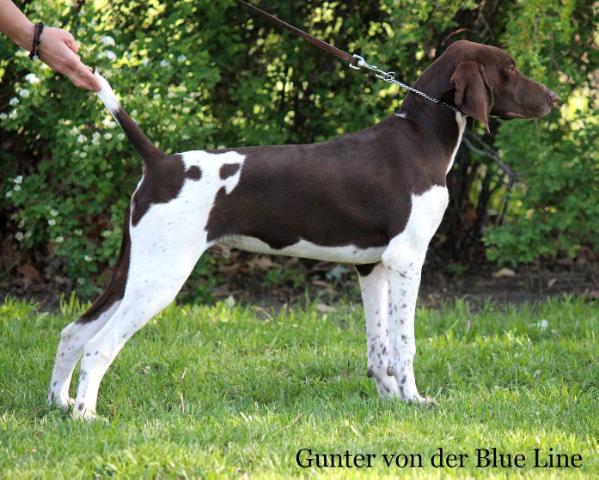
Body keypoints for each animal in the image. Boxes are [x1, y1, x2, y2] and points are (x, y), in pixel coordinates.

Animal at [47, 39, 556, 418]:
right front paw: (414, 400)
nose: (553, 98)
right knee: (98, 346)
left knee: (72, 332)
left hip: (133, 270)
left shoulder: (372, 267)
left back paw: (60, 406)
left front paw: (390, 402)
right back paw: (87, 415)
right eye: (510, 68)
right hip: (160, 278)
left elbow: (379, 350)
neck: (421, 137)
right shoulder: (407, 260)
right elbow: (404, 345)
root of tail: (159, 162)